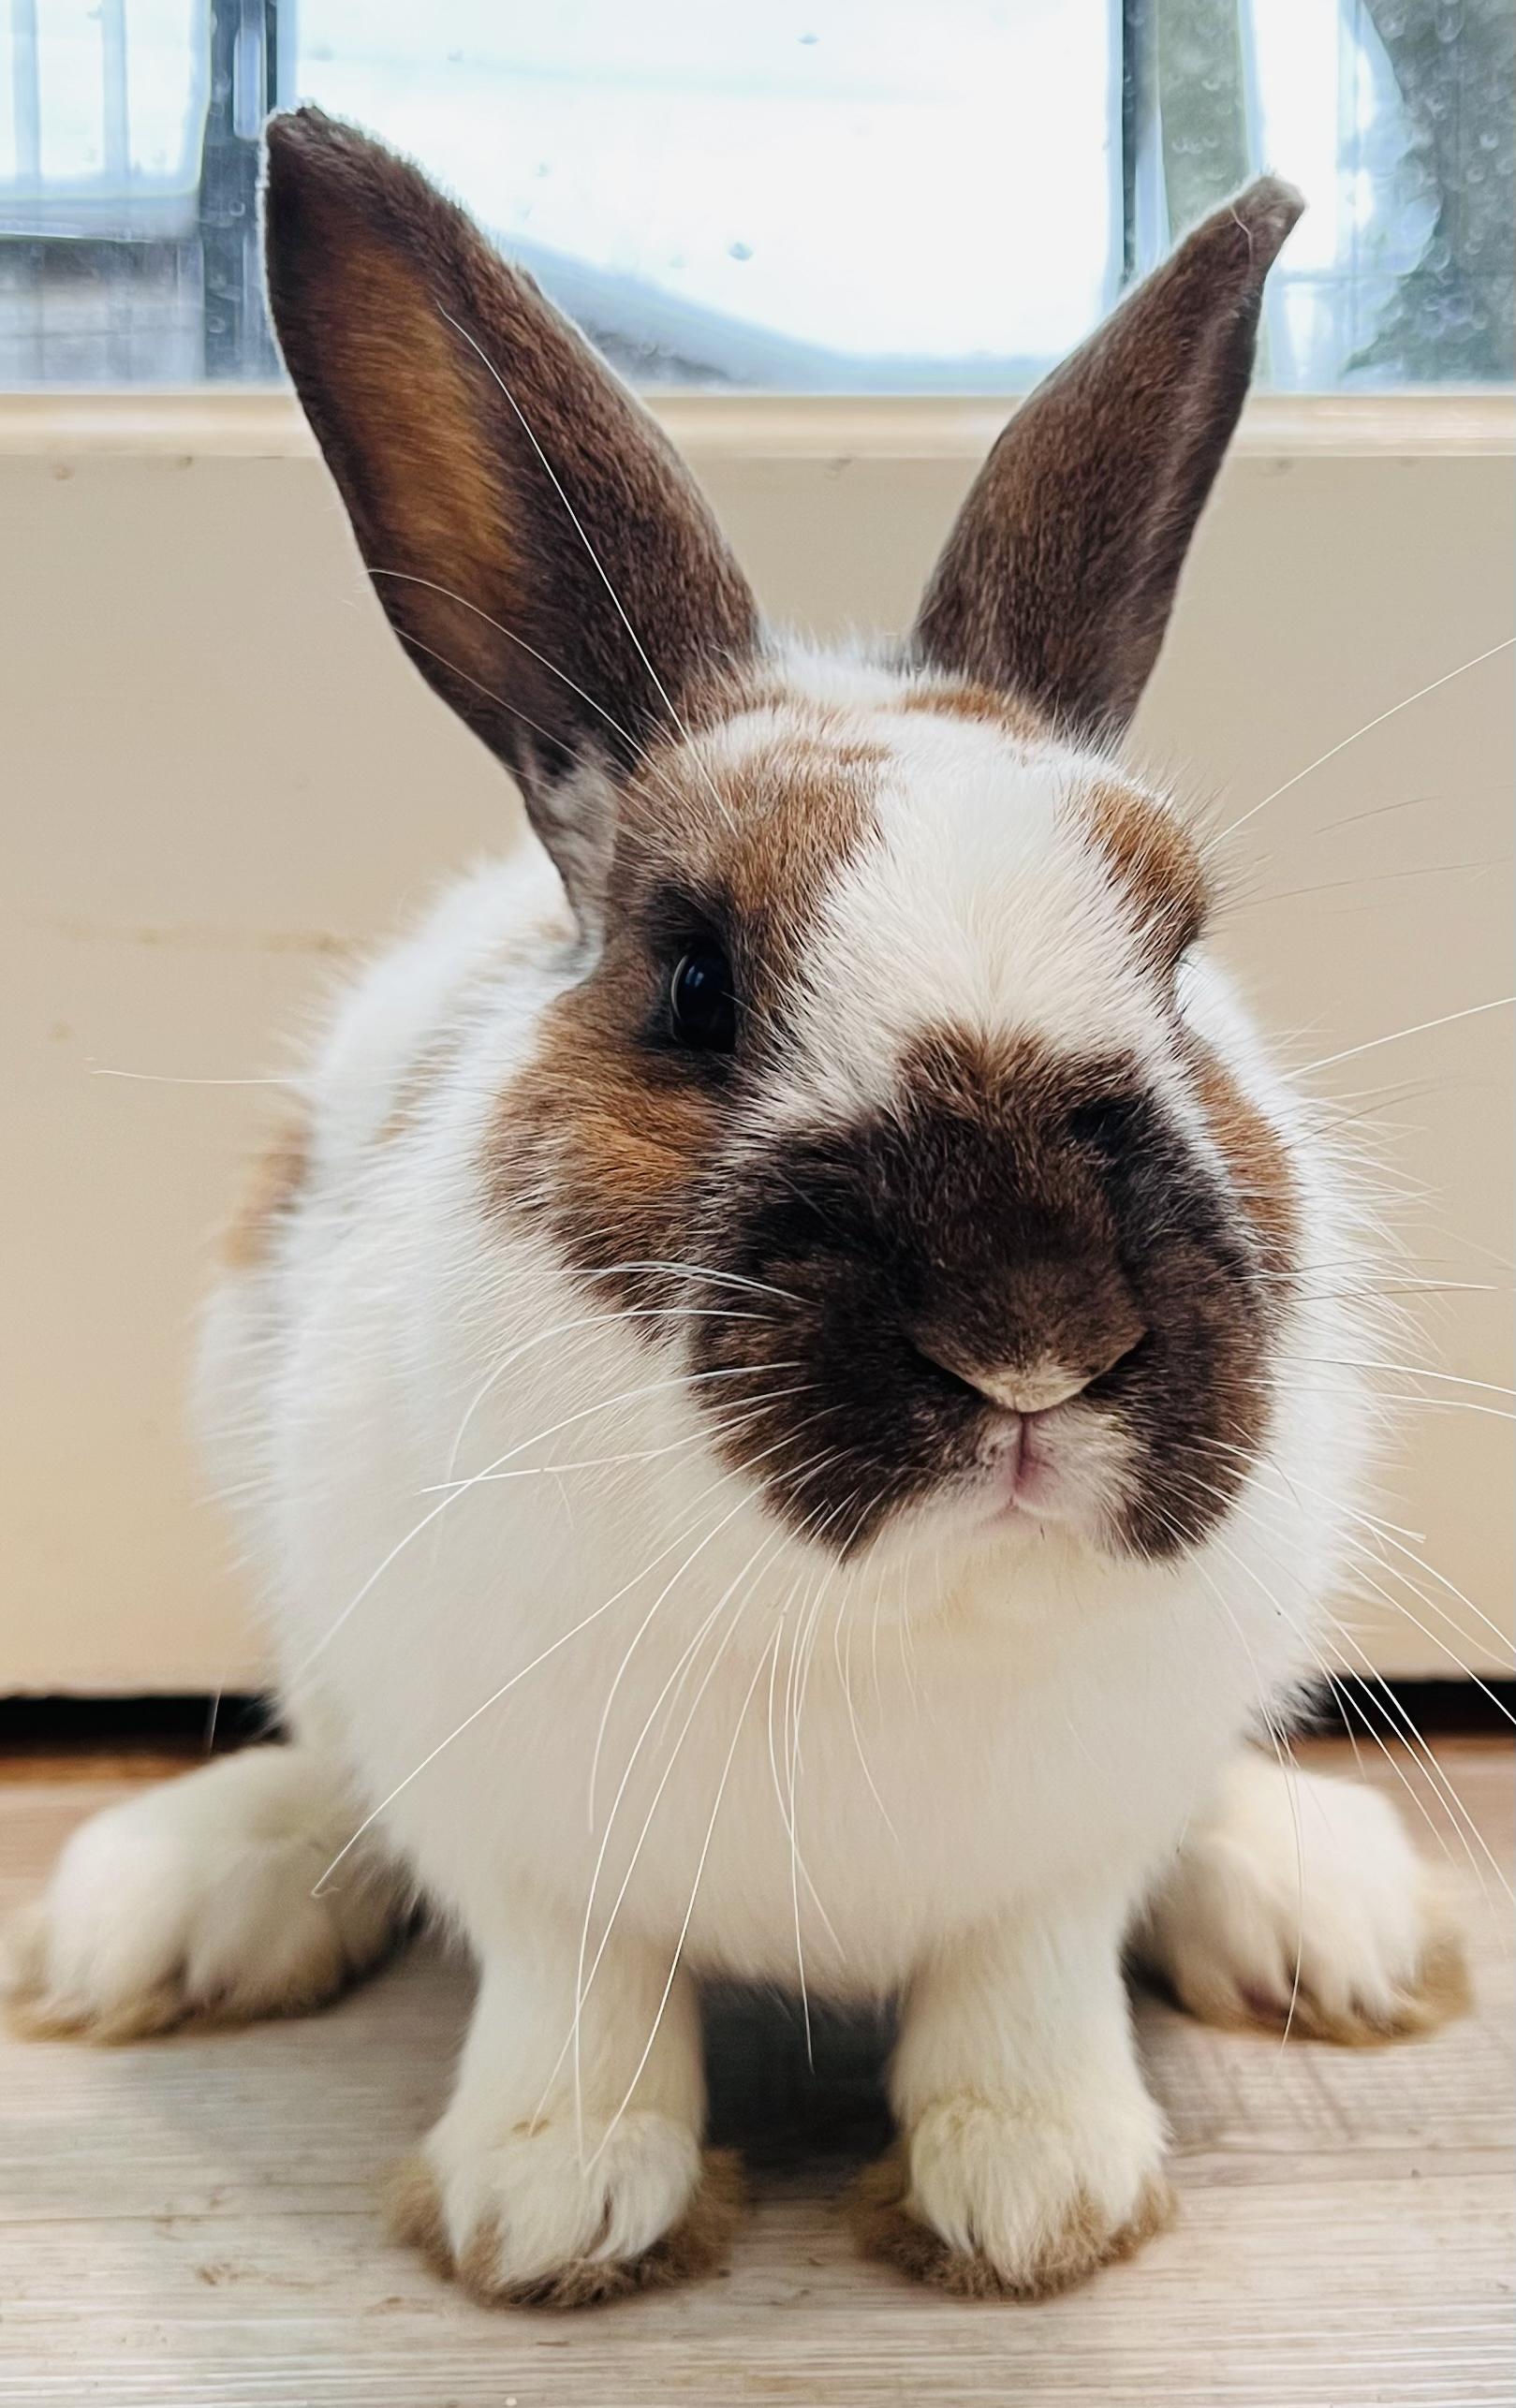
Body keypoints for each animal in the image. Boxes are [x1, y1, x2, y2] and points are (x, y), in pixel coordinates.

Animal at [5, 109, 1467, 2308]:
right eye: (692, 982)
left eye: (1176, 945)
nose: (1032, 1333)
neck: (881, 1619)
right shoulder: (525, 1836)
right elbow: (574, 1997)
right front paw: (545, 2203)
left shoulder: (1060, 1853)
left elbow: (1027, 1984)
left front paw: (1035, 2186)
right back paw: (179, 1900)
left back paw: (1317, 1910)